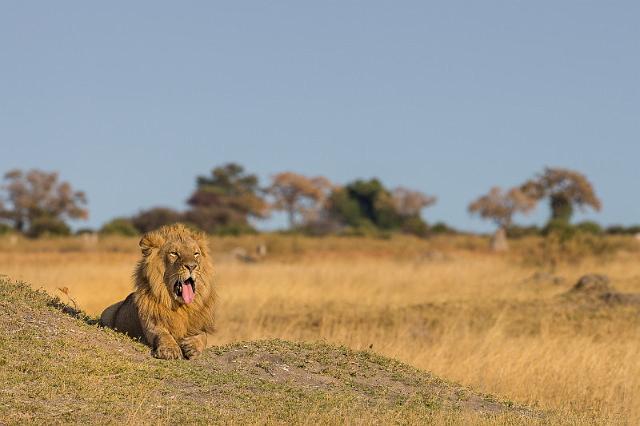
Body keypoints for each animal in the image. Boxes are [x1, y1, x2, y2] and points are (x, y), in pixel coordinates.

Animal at [100, 223, 215, 360]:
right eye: (174, 253)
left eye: (196, 253)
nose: (192, 266)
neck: (180, 307)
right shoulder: (151, 324)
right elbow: (162, 334)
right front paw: (169, 350)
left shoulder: (199, 326)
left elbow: (203, 336)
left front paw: (192, 347)